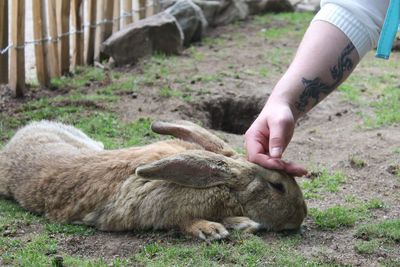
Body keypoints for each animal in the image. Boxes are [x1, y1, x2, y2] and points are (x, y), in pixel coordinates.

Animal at [0, 120, 306, 242]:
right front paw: (213, 230)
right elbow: (183, 222)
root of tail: (20, 136)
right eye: (277, 186)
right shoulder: (162, 208)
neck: (220, 185)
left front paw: (241, 224)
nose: (301, 216)